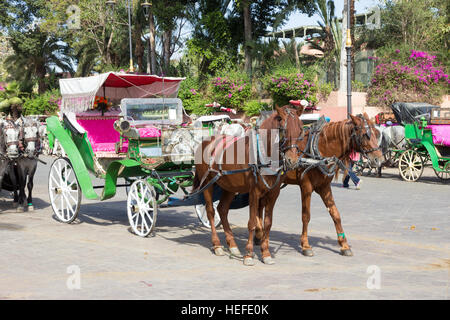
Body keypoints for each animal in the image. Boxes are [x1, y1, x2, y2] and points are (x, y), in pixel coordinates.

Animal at [192, 105, 304, 264]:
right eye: (282, 129)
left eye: (300, 130)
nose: (292, 160)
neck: (263, 154)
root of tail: (206, 142)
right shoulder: (254, 192)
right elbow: (252, 222)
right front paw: (249, 254)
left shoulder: (273, 193)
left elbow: (267, 223)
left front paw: (266, 253)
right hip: (208, 183)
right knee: (211, 212)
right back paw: (217, 245)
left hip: (229, 186)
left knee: (222, 209)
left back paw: (232, 245)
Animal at [256, 111, 384, 256]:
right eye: (365, 135)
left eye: (376, 133)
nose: (379, 159)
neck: (319, 152)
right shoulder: (305, 186)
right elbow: (306, 216)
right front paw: (306, 245)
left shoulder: (324, 186)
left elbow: (335, 214)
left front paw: (344, 245)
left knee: (260, 204)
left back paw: (258, 235)